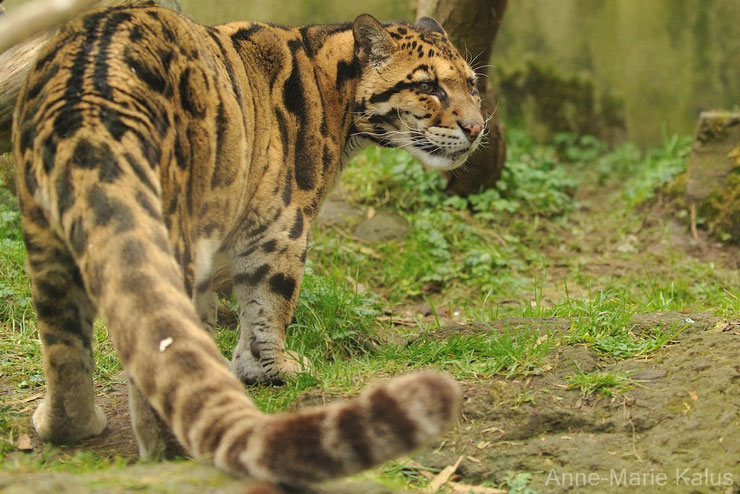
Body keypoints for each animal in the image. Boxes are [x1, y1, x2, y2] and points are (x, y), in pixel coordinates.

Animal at [13, 1, 486, 484]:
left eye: (471, 84)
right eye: (427, 86)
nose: (476, 127)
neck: (338, 93)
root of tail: (89, 105)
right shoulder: (281, 222)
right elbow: (269, 303)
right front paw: (269, 369)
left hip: (47, 240)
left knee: (64, 340)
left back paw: (68, 427)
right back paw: (172, 450)